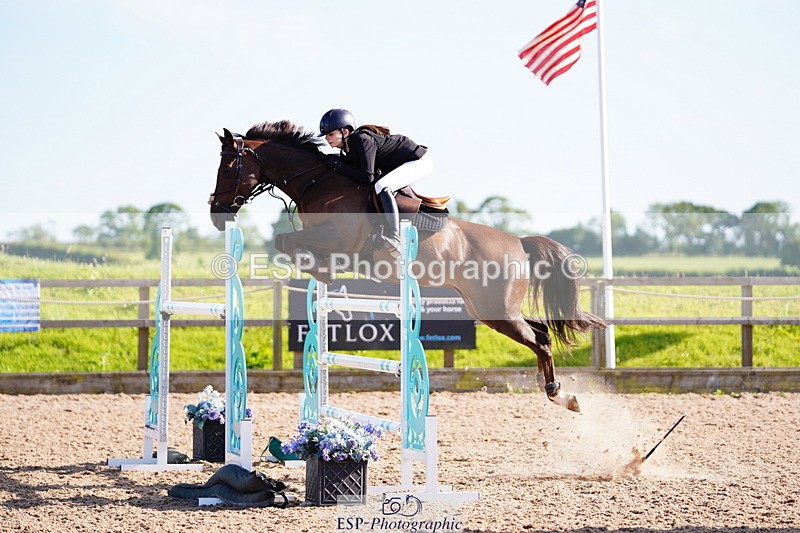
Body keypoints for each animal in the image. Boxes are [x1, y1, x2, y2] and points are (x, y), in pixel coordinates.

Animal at [209, 120, 605, 412]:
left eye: (228, 166)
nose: (216, 214)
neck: (317, 180)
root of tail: (519, 244)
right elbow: (286, 242)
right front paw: (321, 269)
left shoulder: (338, 238)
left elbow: (286, 241)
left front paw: (321, 269)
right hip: (490, 309)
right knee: (541, 333)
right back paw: (555, 391)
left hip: (497, 309)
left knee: (540, 341)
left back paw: (561, 394)